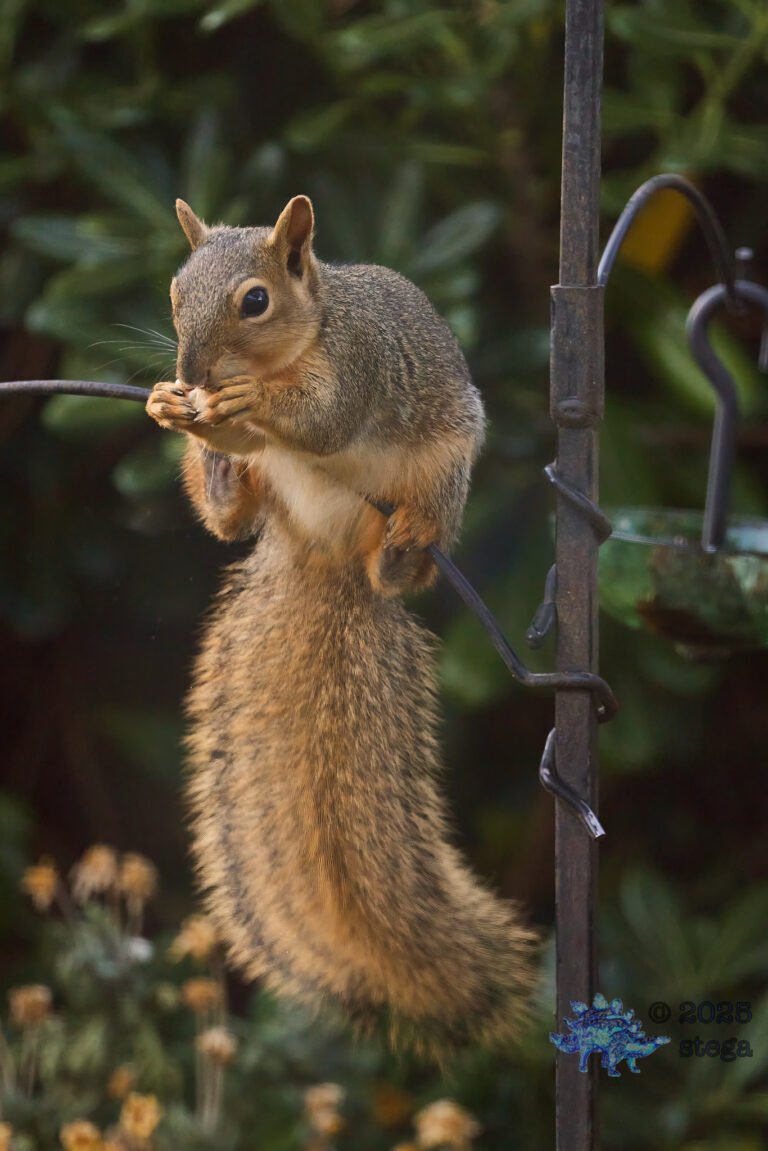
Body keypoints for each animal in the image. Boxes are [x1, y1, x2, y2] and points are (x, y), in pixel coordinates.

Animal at [146, 195, 537, 1053]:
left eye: (255, 300)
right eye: (175, 288)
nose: (191, 373)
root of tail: (324, 551)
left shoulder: (358, 366)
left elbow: (324, 421)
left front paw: (252, 404)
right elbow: (234, 442)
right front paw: (170, 404)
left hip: (444, 470)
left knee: (409, 560)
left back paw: (405, 546)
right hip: (269, 497)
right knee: (232, 520)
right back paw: (220, 481)